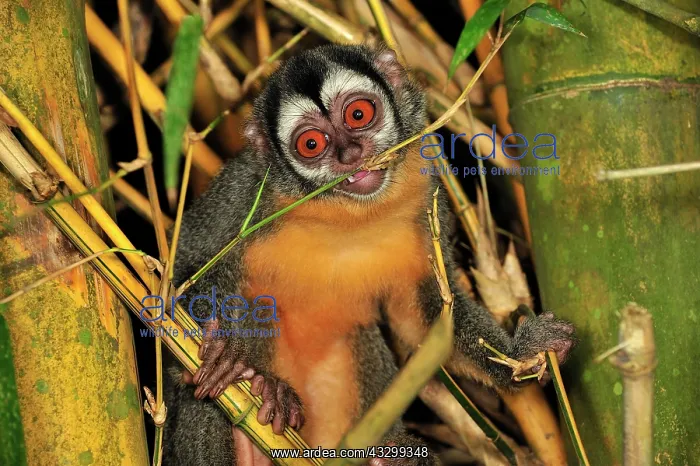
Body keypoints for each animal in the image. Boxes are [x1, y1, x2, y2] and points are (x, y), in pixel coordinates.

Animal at [162, 43, 576, 465]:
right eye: (311, 144)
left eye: (358, 114)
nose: (350, 154)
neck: (344, 211)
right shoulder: (245, 191)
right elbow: (175, 277)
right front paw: (227, 349)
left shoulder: (426, 190)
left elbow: (427, 318)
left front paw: (521, 355)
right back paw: (260, 391)